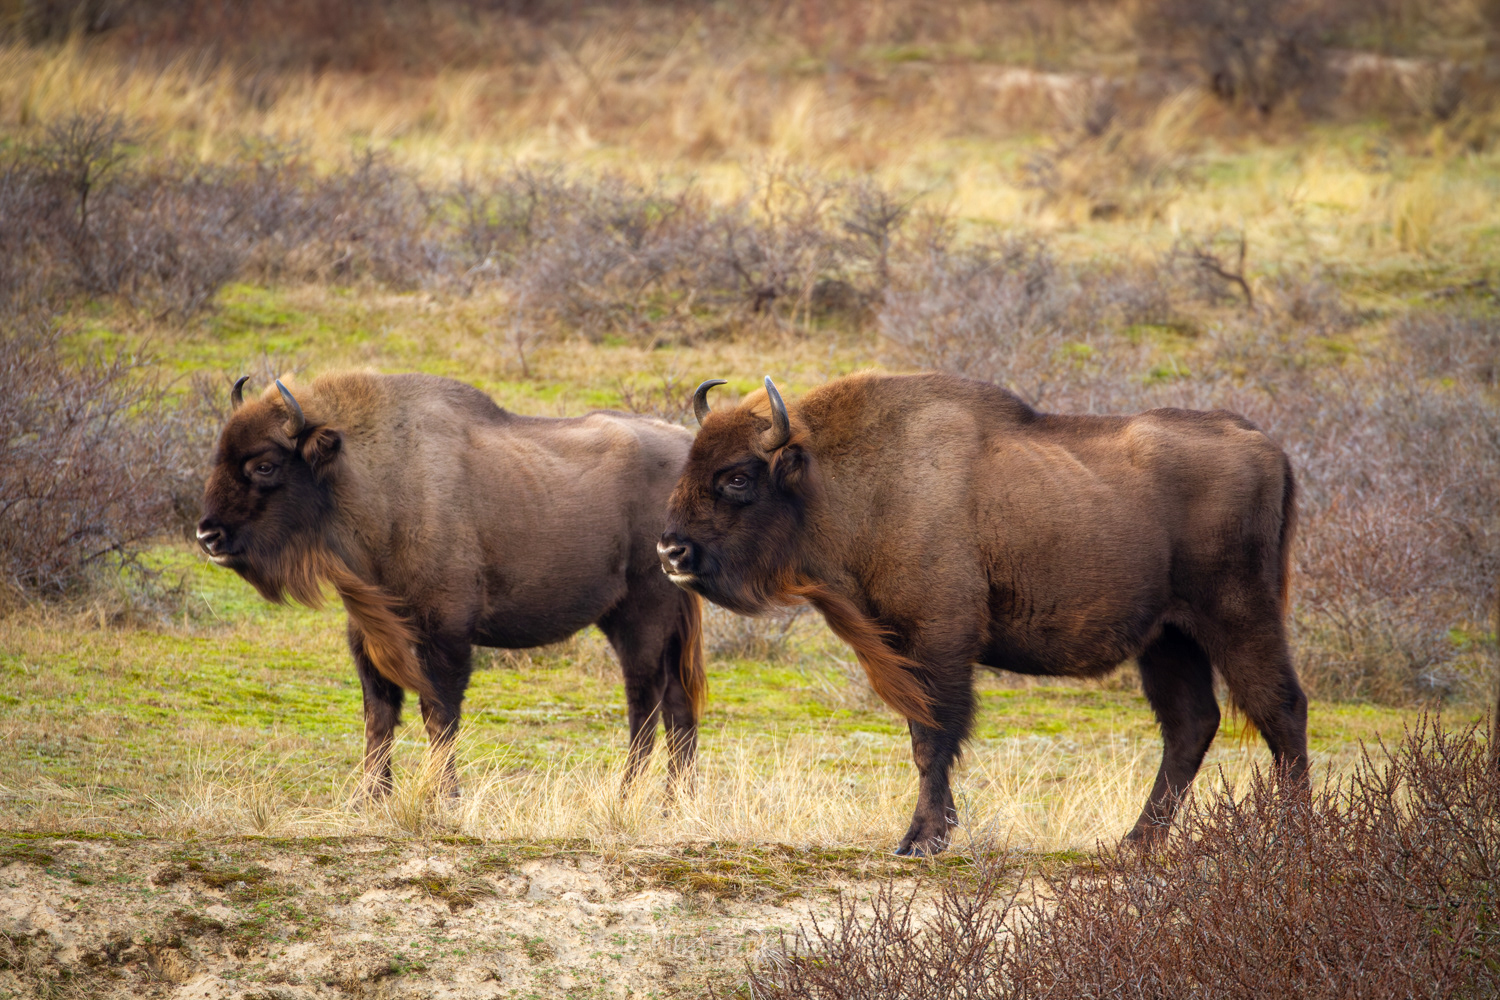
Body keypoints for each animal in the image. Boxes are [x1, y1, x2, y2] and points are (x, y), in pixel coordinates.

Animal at [198, 372, 705, 796]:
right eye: (220, 455)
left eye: (265, 465)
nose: (208, 536)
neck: (377, 474)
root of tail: (686, 444)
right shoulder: (370, 634)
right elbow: (378, 716)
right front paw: (370, 798)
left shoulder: (444, 633)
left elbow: (438, 715)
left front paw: (443, 795)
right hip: (643, 622)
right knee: (678, 705)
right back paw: (673, 802)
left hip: (642, 617)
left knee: (645, 704)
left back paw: (626, 796)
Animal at [660, 371, 1307, 855]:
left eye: (737, 477)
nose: (670, 551)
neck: (839, 478)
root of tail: (1266, 447)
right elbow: (925, 737)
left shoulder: (938, 641)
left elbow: (933, 738)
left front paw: (920, 840)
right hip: (1169, 639)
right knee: (1191, 725)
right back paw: (1135, 843)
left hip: (1238, 619)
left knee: (1281, 709)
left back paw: (1290, 834)